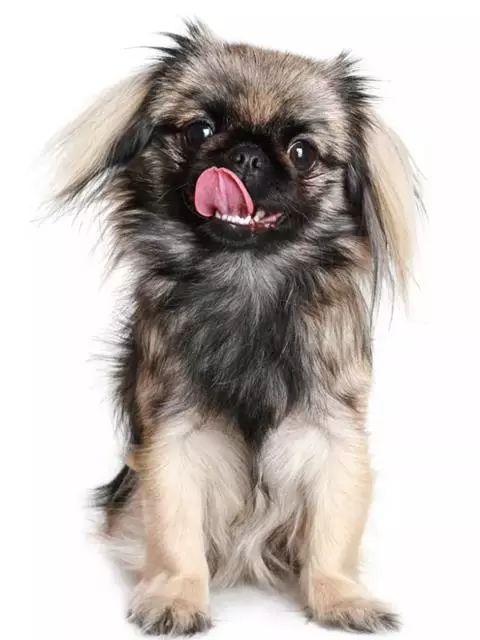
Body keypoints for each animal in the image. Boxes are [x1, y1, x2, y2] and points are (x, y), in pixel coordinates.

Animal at [48, 20, 419, 636]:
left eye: (301, 151)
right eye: (200, 129)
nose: (244, 155)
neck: (248, 281)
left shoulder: (333, 435)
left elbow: (333, 533)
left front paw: (340, 598)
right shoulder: (174, 440)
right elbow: (176, 534)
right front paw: (176, 596)